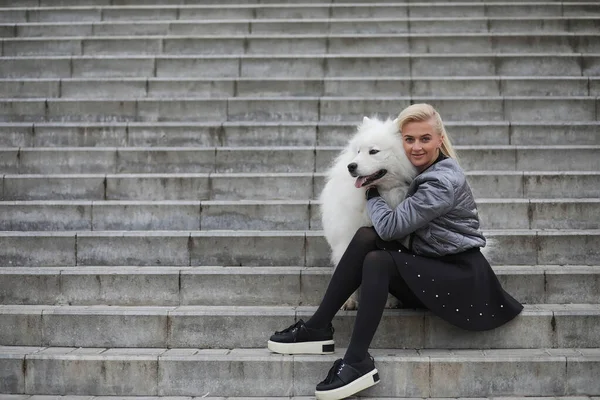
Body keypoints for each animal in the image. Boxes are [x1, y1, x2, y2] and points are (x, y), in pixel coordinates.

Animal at [318, 115, 418, 310]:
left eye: (373, 151)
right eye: (358, 151)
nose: (351, 166)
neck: (382, 193)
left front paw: (390, 301)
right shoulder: (348, 236)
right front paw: (349, 301)